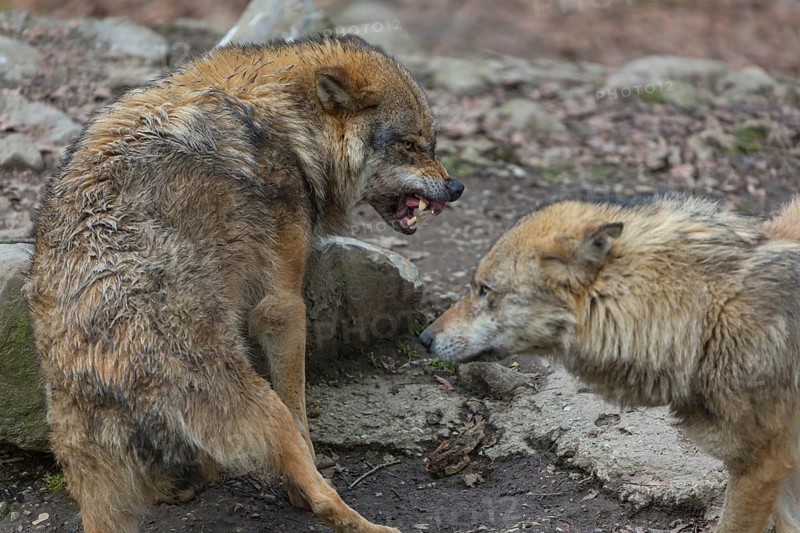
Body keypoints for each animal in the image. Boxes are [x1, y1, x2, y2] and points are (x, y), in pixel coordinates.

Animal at [25, 34, 463, 533]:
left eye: (431, 144)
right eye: (409, 145)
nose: (456, 188)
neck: (287, 121)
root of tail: (104, 379)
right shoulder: (282, 305)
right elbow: (300, 410)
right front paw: (309, 471)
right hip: (263, 406)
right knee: (322, 496)